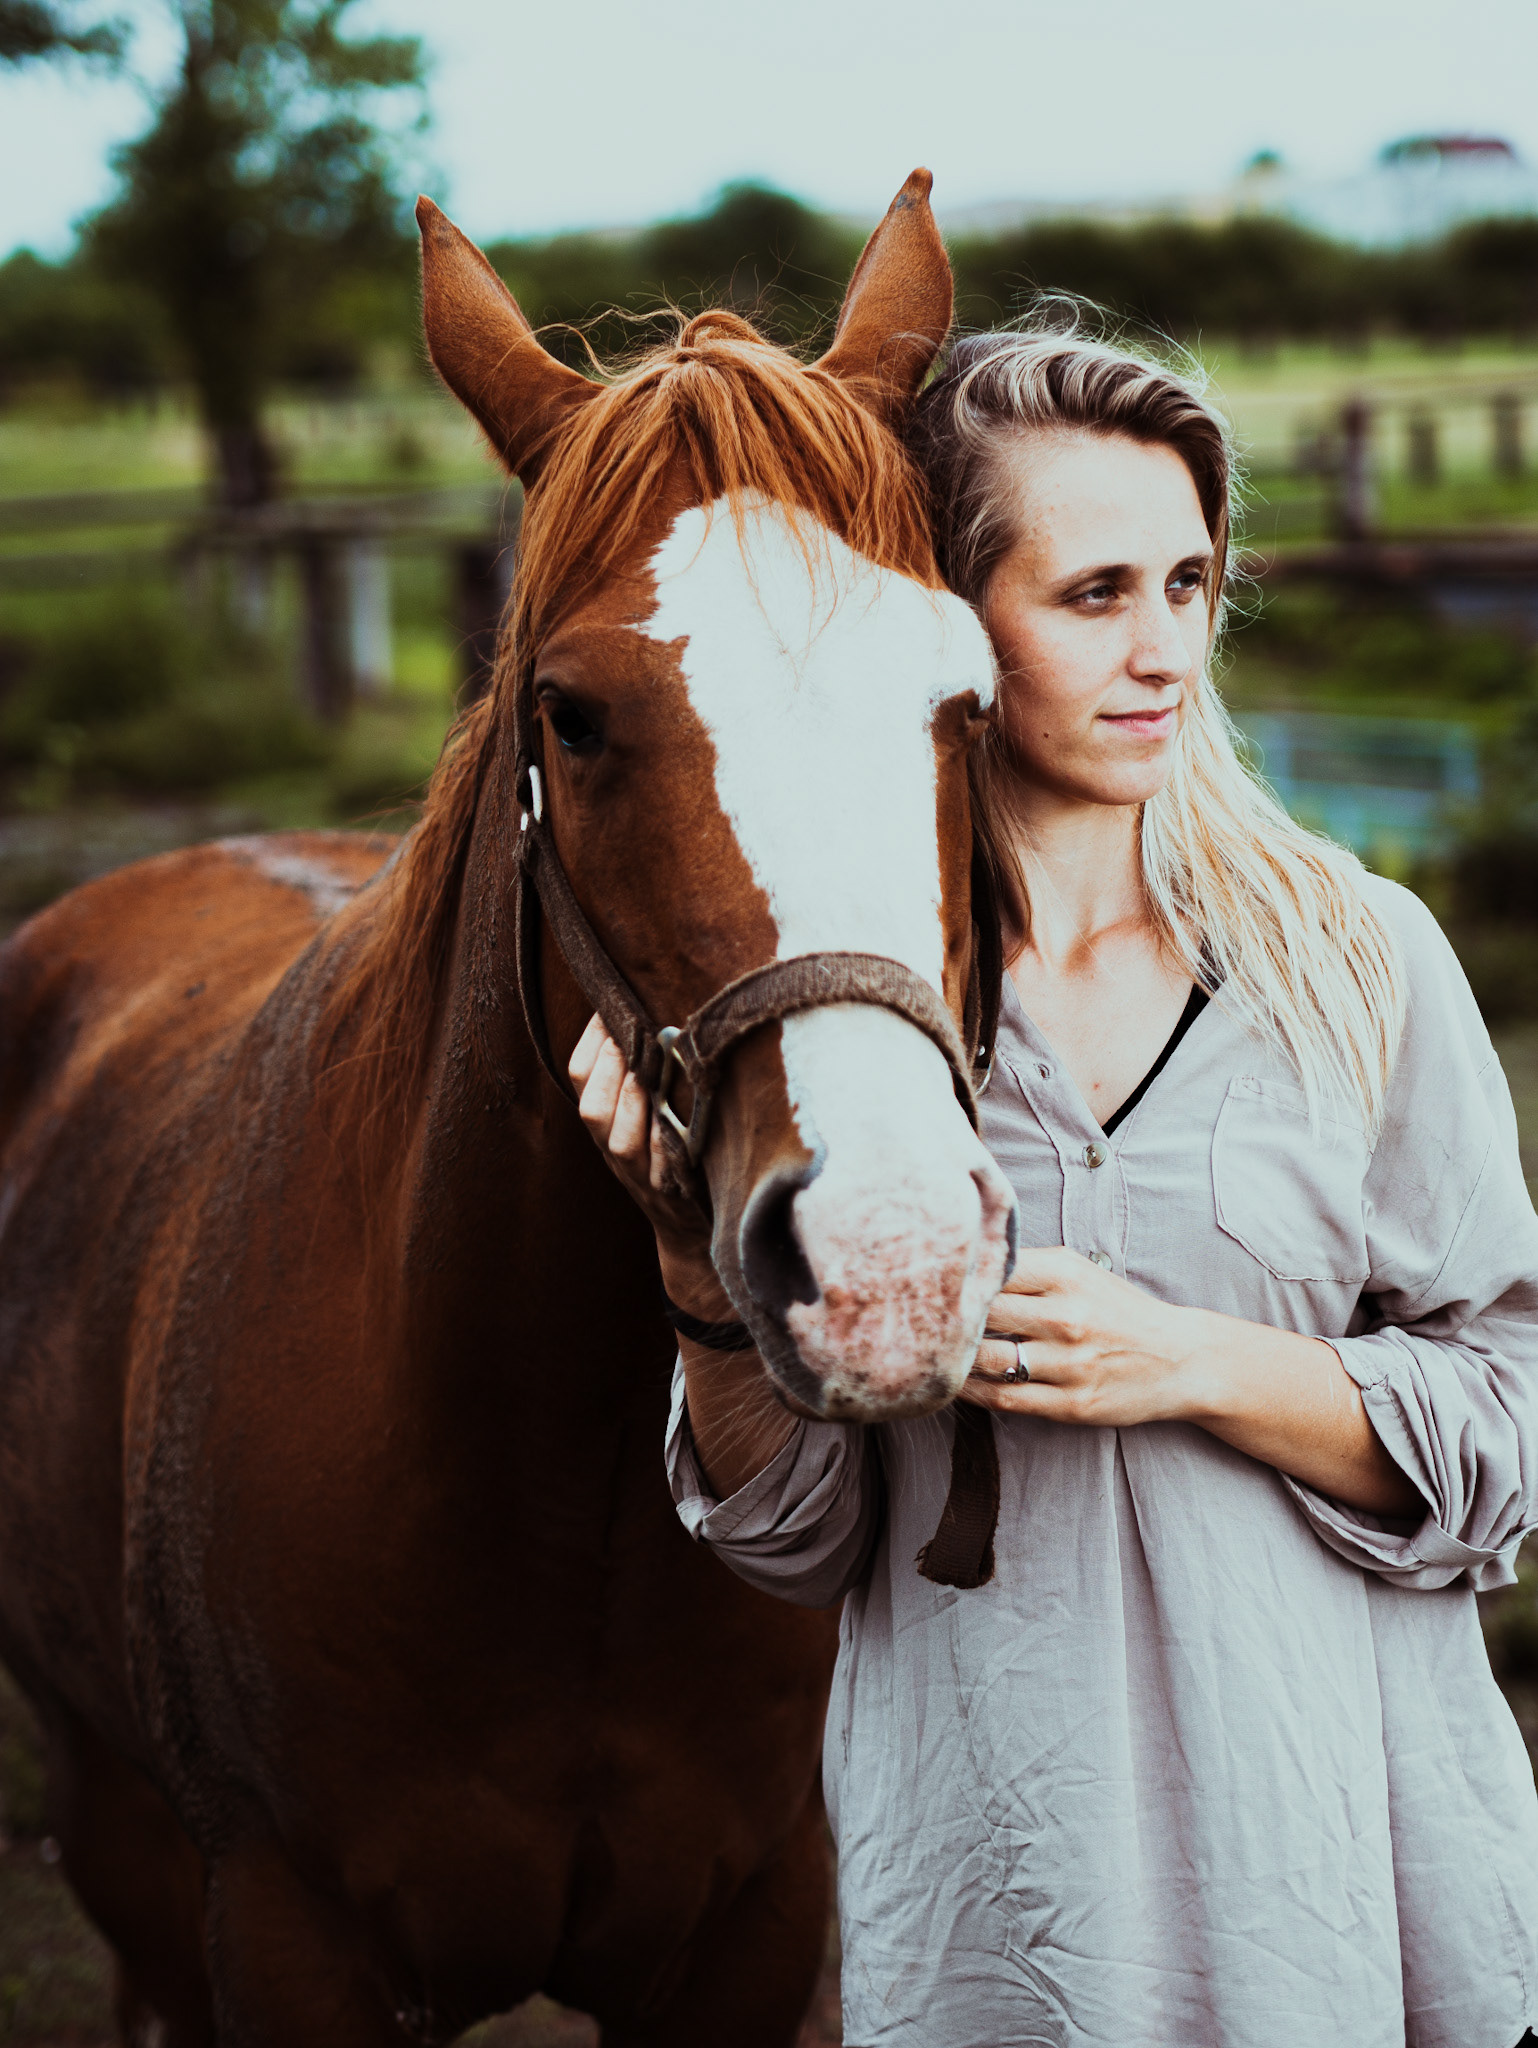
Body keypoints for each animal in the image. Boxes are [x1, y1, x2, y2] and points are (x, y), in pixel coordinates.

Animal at [0, 169, 1016, 2046]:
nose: (888, 1262)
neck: (562, 1495)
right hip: (117, 1838)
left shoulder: (754, 1929)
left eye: (965, 697)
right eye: (574, 711)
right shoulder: (283, 1940)